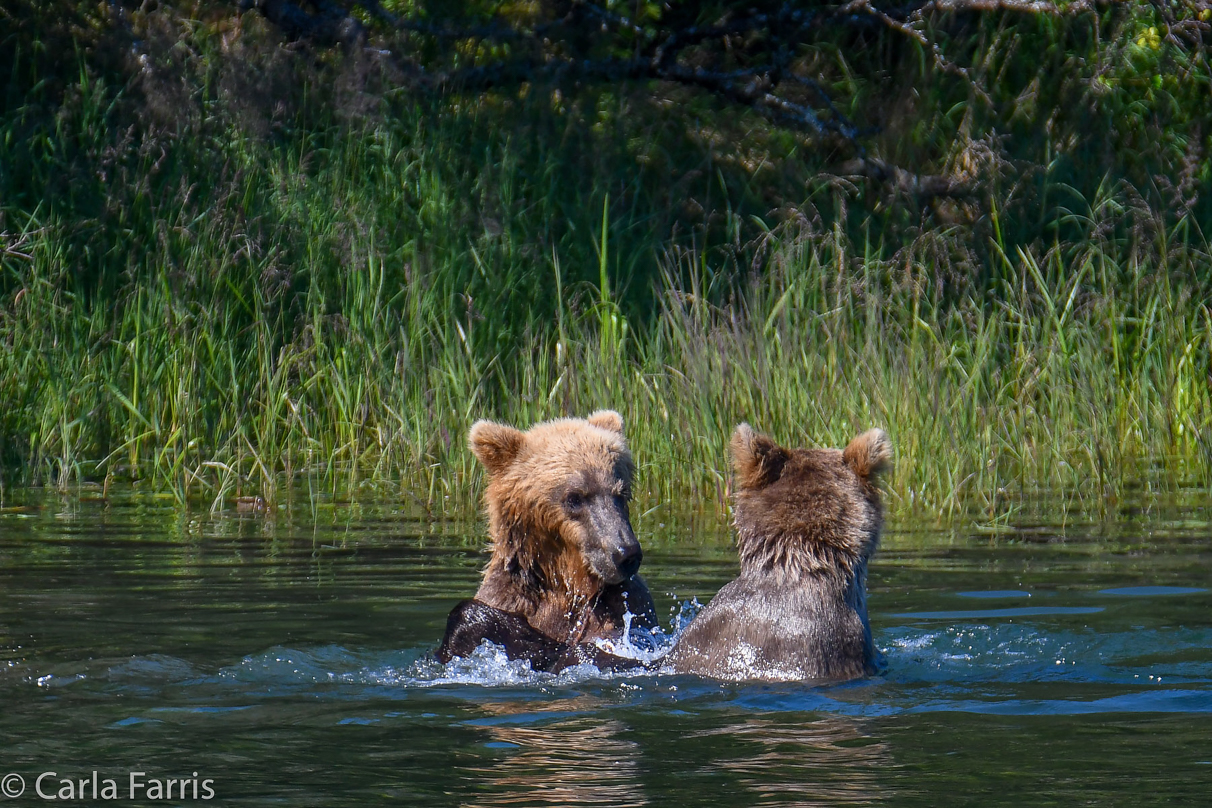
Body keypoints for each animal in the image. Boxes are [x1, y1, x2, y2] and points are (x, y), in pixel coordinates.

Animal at [441, 411, 659, 668]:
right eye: (574, 497)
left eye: (621, 492)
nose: (626, 553)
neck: (566, 581)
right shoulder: (509, 596)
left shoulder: (629, 607)